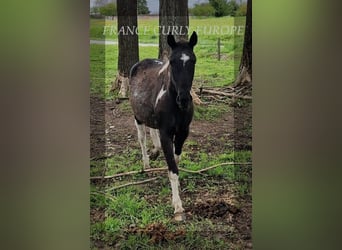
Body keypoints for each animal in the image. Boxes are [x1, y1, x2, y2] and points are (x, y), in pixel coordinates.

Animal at [129, 31, 198, 221]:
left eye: (193, 61)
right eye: (172, 62)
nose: (184, 99)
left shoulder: (183, 132)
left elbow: (176, 160)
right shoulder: (166, 133)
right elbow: (172, 169)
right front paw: (178, 206)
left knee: (152, 132)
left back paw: (154, 152)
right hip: (138, 117)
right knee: (142, 138)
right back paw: (146, 162)